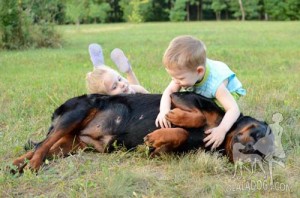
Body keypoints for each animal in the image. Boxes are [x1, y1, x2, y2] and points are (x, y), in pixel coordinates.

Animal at [11, 92, 270, 172]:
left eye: (262, 155)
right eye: (258, 135)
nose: (248, 154)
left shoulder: (168, 153)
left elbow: (179, 136)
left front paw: (156, 140)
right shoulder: (184, 97)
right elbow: (191, 118)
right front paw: (172, 120)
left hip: (71, 144)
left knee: (43, 147)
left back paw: (18, 164)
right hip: (77, 111)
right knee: (43, 144)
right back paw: (31, 165)